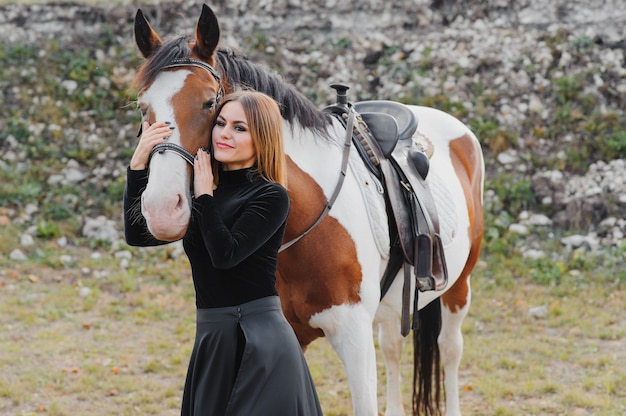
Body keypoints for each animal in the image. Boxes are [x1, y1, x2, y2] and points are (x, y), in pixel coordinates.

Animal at [129, 4, 486, 416]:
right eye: (143, 107)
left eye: (208, 103)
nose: (161, 209)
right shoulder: (291, 335)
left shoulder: (354, 339)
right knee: (394, 347)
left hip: (459, 286)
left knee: (450, 348)